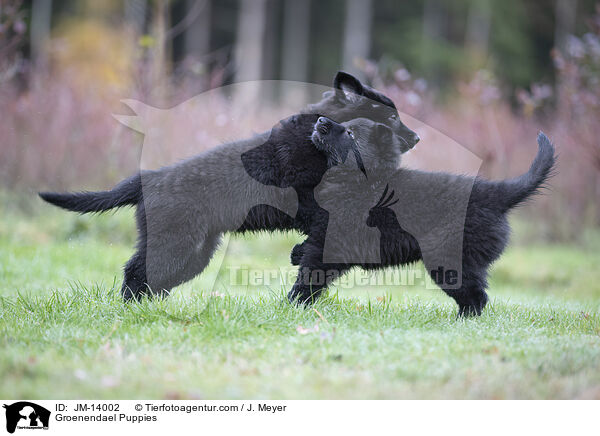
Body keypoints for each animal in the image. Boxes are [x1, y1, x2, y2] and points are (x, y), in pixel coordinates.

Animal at [288, 117, 556, 316]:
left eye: (350, 133)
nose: (320, 119)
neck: (361, 178)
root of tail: (493, 195)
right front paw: (296, 253)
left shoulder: (331, 243)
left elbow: (309, 276)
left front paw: (291, 305)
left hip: (448, 260)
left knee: (475, 297)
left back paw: (460, 323)